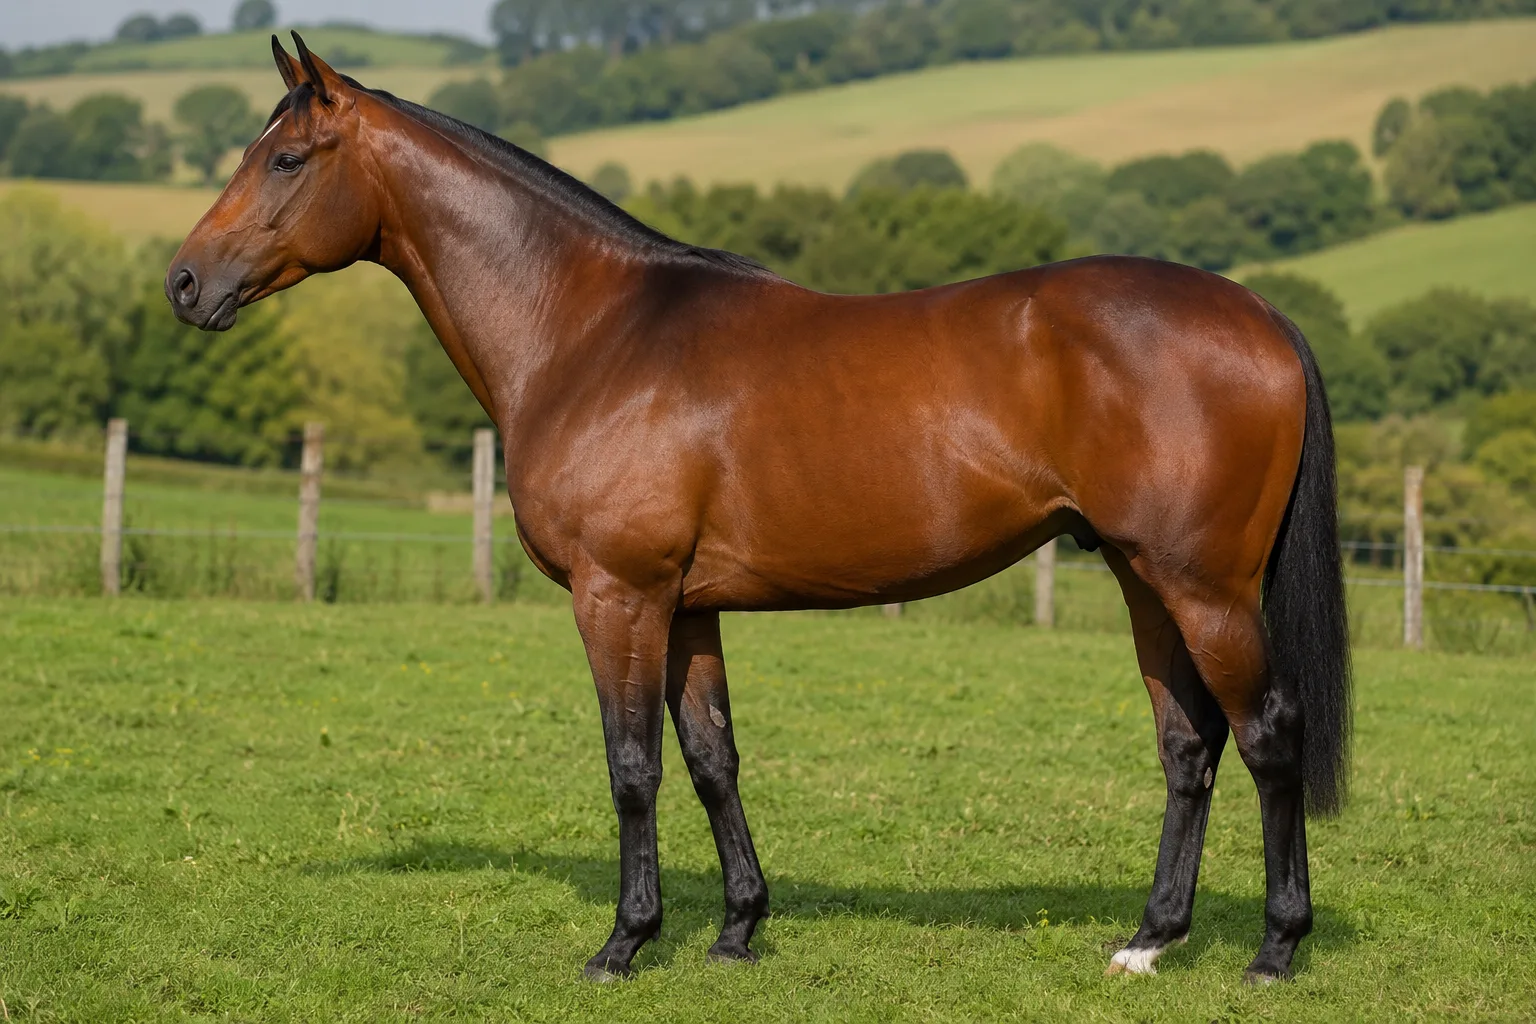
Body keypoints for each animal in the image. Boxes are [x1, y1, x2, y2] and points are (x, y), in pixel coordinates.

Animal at [166, 34, 1351, 985]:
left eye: (284, 158)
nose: (183, 282)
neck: (590, 329)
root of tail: (1260, 315)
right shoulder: (688, 607)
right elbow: (711, 760)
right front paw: (737, 929)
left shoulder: (618, 595)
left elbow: (633, 768)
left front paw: (624, 943)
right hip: (1144, 579)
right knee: (1188, 746)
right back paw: (1149, 941)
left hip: (1205, 588)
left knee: (1267, 735)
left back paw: (1275, 948)